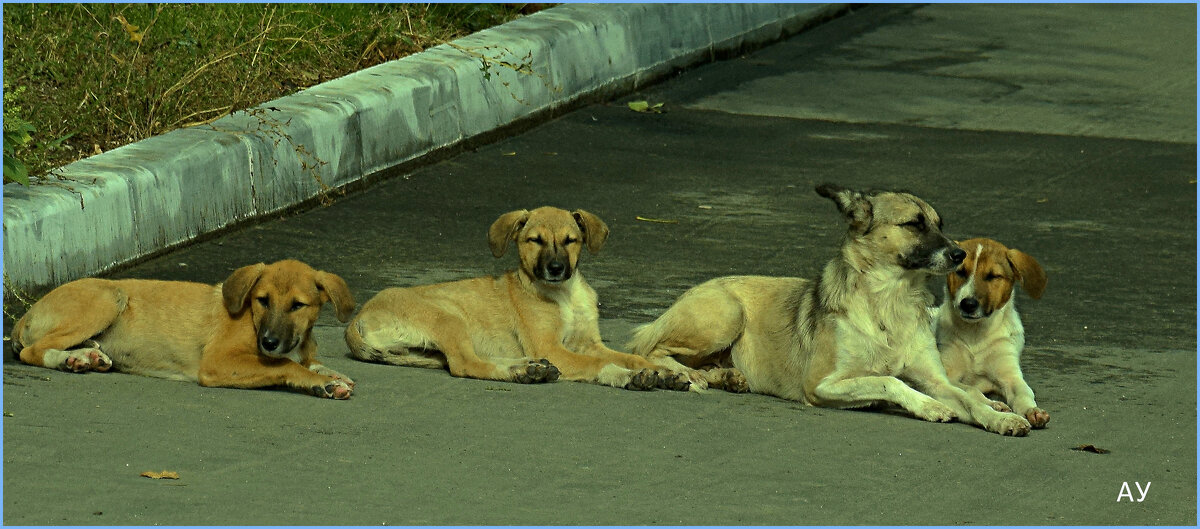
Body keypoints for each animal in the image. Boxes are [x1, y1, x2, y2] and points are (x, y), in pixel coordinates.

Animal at [9, 257, 357, 398]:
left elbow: (311, 362)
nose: (268, 342)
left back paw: (87, 354)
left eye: (298, 305)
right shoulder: (217, 362)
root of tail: (24, 316)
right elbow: (285, 365)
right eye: (262, 300)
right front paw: (319, 382)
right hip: (110, 296)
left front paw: (329, 375)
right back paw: (71, 359)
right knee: (32, 351)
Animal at [343, 203, 691, 388]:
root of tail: (355, 321)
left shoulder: (588, 343)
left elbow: (629, 356)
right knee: (465, 364)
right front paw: (629, 375)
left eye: (571, 240)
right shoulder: (553, 347)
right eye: (534, 240)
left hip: (425, 351)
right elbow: (597, 364)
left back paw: (530, 367)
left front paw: (662, 370)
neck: (565, 295)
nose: (555, 268)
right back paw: (522, 370)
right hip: (448, 318)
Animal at [628, 183, 1032, 434]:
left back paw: (725, 376)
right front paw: (930, 407)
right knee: (650, 347)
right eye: (914, 225)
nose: (960, 254)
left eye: (938, 224)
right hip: (727, 313)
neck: (889, 302)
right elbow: (889, 380)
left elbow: (967, 397)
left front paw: (998, 418)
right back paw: (685, 374)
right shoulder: (821, 384)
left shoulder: (936, 380)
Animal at [931, 238, 1046, 429]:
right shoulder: (948, 374)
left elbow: (1024, 392)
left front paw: (1032, 410)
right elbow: (971, 390)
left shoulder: (1010, 376)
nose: (968, 304)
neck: (976, 334)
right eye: (960, 272)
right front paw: (993, 405)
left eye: (993, 276)